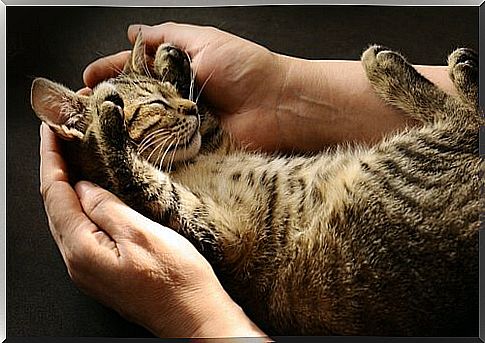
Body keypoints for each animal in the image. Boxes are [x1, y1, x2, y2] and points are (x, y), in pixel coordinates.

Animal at [31, 33, 480, 338]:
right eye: (157, 104)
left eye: (173, 93)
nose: (188, 107)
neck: (190, 165)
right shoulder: (211, 229)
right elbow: (138, 179)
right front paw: (109, 124)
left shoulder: (212, 147)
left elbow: (202, 127)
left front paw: (172, 59)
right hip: (399, 166)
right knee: (468, 122)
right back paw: (404, 68)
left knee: (468, 120)